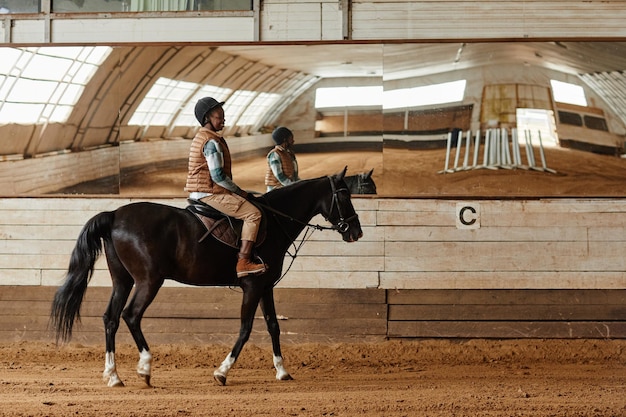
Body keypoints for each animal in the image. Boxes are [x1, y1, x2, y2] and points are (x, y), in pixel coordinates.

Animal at [51, 168, 364, 386]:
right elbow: (246, 329)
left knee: (111, 318)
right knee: (131, 315)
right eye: (344, 195)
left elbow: (274, 326)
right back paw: (145, 367)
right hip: (148, 281)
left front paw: (282, 371)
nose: (356, 232)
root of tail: (115, 214)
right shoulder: (252, 286)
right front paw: (222, 372)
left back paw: (114, 375)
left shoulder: (266, 286)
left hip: (123, 280)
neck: (274, 222)